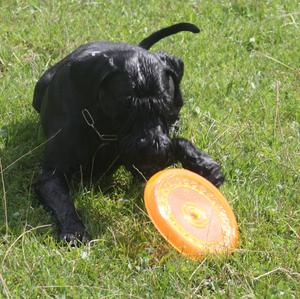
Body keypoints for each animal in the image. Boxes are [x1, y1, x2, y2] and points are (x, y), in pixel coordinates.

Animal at [33, 22, 223, 244]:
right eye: (125, 107)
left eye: (167, 109)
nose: (153, 151)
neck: (103, 130)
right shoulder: (51, 175)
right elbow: (63, 200)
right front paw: (74, 230)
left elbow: (177, 142)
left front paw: (204, 165)